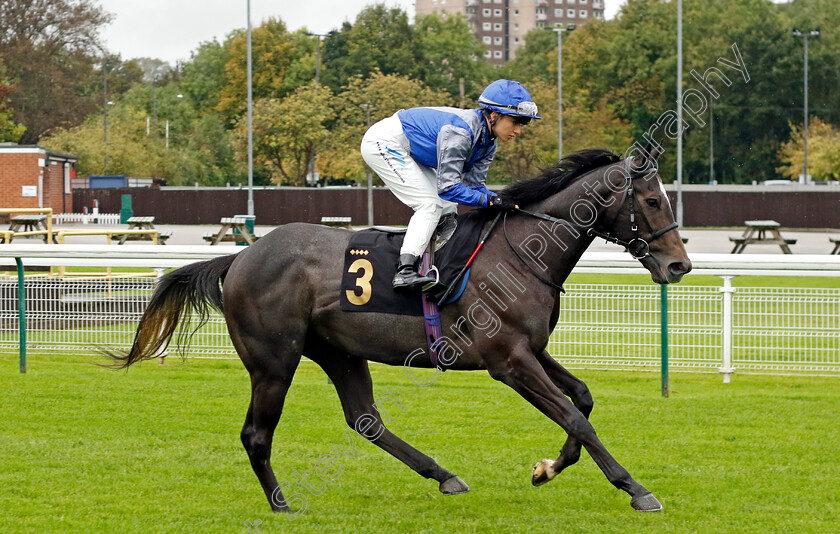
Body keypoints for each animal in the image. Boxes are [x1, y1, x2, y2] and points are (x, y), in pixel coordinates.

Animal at [110, 148, 688, 516]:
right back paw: (282, 504)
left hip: (339, 352)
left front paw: (547, 467)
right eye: (652, 201)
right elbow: (576, 417)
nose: (679, 265)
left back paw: (444, 475)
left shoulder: (530, 350)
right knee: (257, 434)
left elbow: (583, 400)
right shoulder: (507, 360)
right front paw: (636, 489)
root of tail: (241, 256)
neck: (521, 252)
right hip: (274, 361)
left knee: (365, 420)